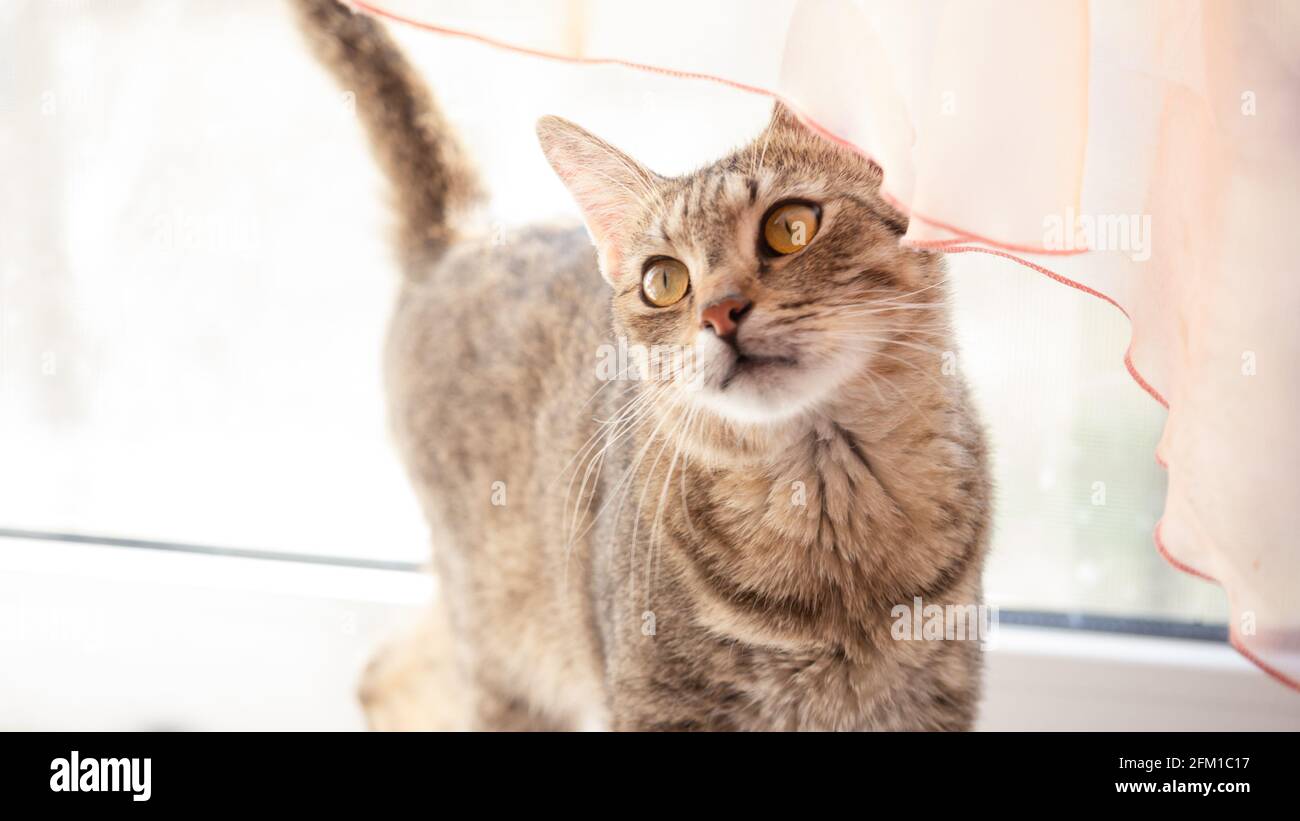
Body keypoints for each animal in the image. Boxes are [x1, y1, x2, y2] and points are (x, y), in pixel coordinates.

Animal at [295, 0, 987, 732]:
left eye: (790, 228)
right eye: (664, 281)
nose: (719, 312)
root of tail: (461, 236)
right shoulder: (658, 703)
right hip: (506, 641)